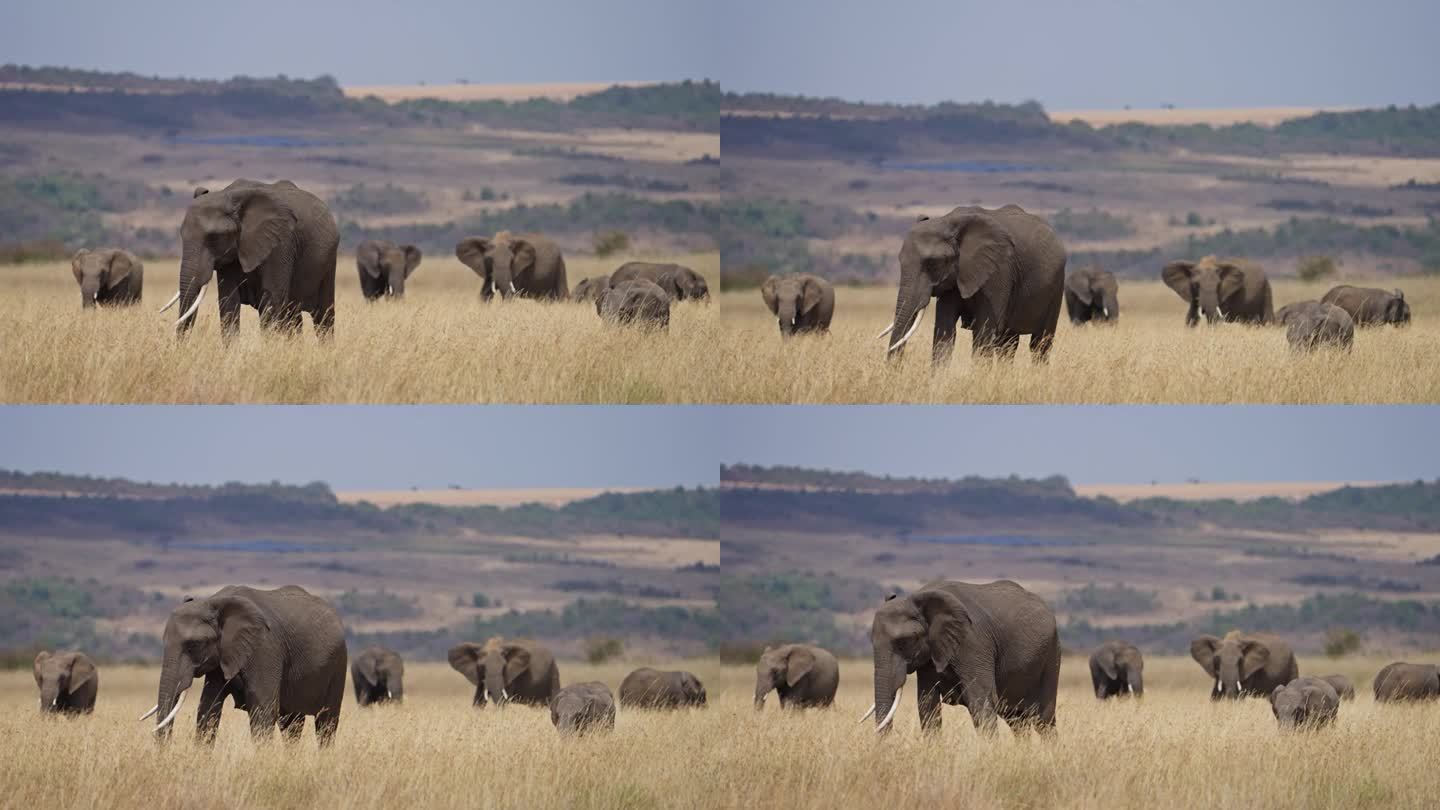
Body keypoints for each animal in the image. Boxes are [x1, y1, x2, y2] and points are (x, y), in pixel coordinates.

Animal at [141, 579, 347, 743]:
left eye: (194, 645)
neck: (214, 602)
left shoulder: (264, 646)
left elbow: (262, 710)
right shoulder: (223, 654)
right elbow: (208, 709)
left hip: (338, 662)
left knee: (326, 722)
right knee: (291, 723)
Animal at [163, 177, 339, 338]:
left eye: (214, 237)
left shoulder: (281, 243)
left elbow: (271, 301)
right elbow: (229, 302)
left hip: (329, 259)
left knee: (323, 317)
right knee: (294, 316)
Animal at [858, 573, 1065, 732]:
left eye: (904, 642)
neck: (918, 599)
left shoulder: (972, 642)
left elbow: (980, 700)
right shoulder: (932, 652)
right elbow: (927, 703)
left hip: (1052, 653)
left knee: (1044, 719)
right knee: (1016, 721)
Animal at [875, 203, 1071, 364]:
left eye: (932, 263)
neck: (948, 222)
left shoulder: (998, 271)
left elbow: (983, 334)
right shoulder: (954, 277)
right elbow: (944, 332)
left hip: (1056, 285)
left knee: (1039, 344)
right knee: (1008, 345)